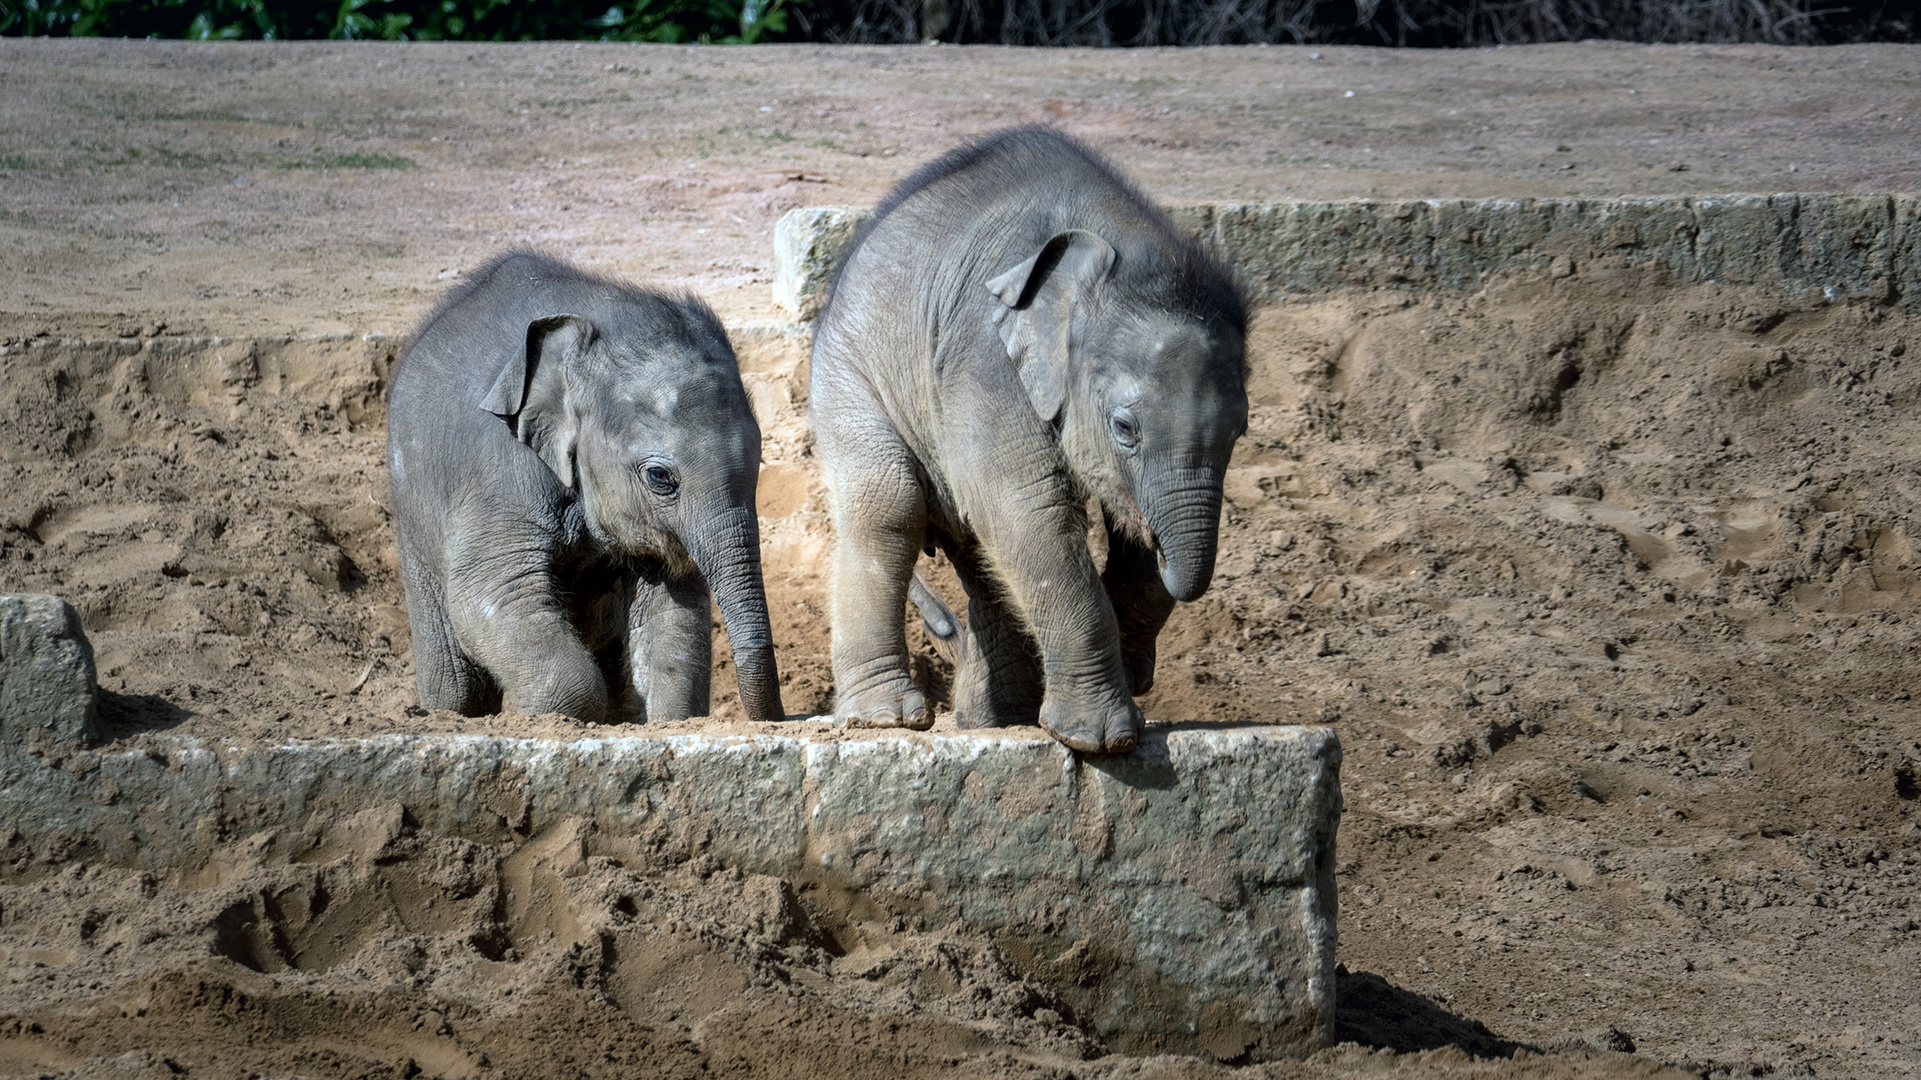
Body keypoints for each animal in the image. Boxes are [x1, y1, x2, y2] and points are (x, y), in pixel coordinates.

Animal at [386, 249, 783, 722]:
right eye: (660, 477)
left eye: (760, 462)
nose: (776, 716)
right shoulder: (499, 471)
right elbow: (486, 592)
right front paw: (543, 715)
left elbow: (671, 609)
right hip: (415, 521)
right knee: (456, 679)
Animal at [806, 123, 1244, 749]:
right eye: (1125, 428)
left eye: (1242, 429)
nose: (1142, 678)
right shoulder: (984, 356)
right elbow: (1026, 507)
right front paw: (1101, 739)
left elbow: (1094, 530)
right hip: (848, 377)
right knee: (889, 508)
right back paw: (885, 718)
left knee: (979, 553)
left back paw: (993, 720)